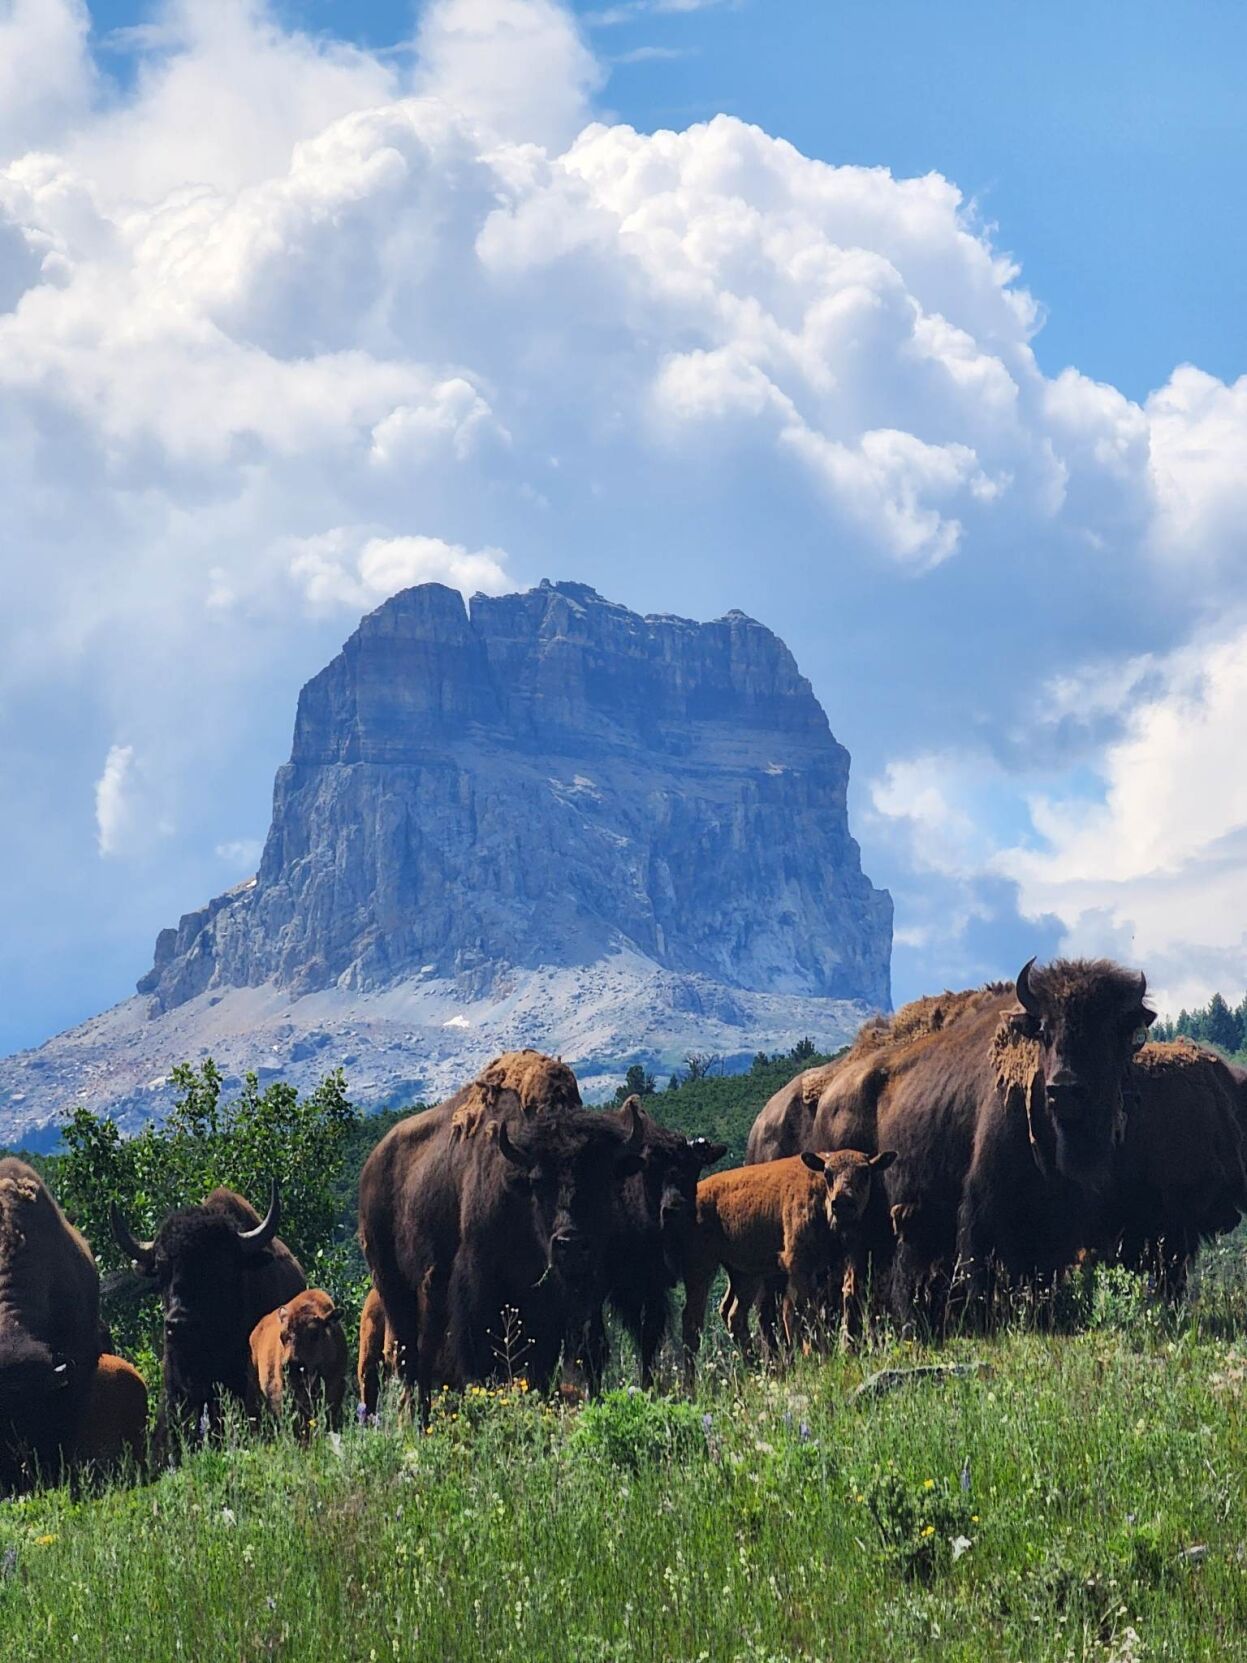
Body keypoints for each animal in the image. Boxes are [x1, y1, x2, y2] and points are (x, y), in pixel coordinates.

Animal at [685, 1144, 897, 1376]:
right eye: (827, 1173)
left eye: (865, 1172)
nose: (842, 1203)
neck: (820, 1197)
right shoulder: (798, 1266)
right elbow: (800, 1313)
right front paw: (815, 1360)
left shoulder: (825, 1268)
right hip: (702, 1268)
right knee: (692, 1321)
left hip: (744, 1274)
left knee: (733, 1314)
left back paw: (756, 1369)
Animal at [811, 964, 1163, 1323]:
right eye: (1045, 1031)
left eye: (1104, 1032)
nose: (1062, 1088)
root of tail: (830, 1094)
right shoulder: (983, 1200)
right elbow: (978, 1262)